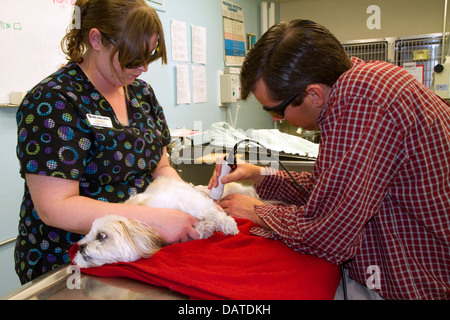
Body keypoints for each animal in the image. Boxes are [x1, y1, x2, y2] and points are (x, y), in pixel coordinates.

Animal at [74, 176, 256, 268]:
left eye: (101, 236)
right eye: (85, 239)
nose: (81, 248)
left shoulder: (183, 200)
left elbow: (209, 212)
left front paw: (227, 225)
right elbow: (199, 229)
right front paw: (206, 228)